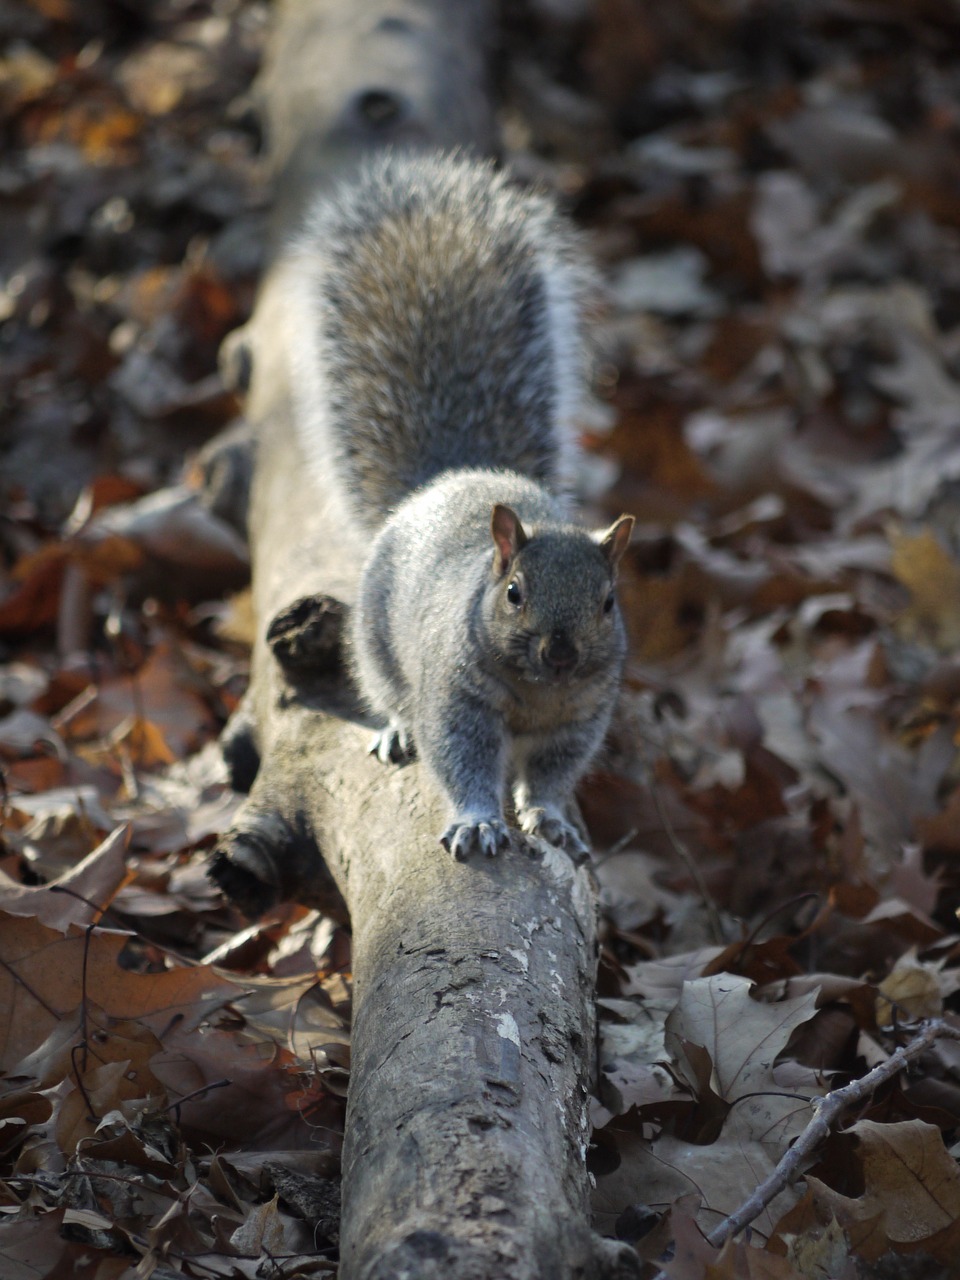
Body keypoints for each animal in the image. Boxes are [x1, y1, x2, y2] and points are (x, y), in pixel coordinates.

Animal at [284, 154, 640, 865]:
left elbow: (552, 773)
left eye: (608, 602)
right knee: (391, 693)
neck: (539, 691)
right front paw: (478, 821)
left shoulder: (583, 717)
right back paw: (397, 728)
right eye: (513, 592)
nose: (561, 653)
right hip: (375, 641)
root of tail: (452, 478)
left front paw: (549, 818)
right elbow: (463, 761)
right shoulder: (455, 701)